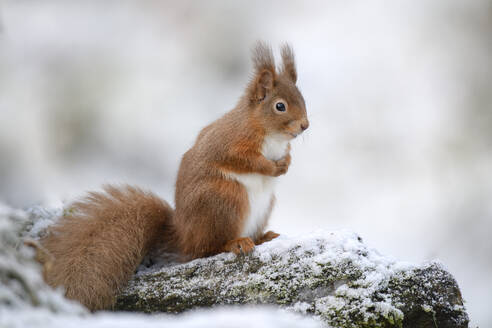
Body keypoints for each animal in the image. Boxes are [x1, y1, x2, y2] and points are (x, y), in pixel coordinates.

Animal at [39, 42, 308, 312]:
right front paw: (272, 168)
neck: (269, 133)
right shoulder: (229, 143)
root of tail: (183, 235)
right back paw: (236, 243)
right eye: (280, 106)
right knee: (206, 249)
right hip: (225, 199)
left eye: (302, 98)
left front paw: (286, 163)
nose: (305, 125)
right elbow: (246, 161)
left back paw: (263, 236)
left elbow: (286, 155)